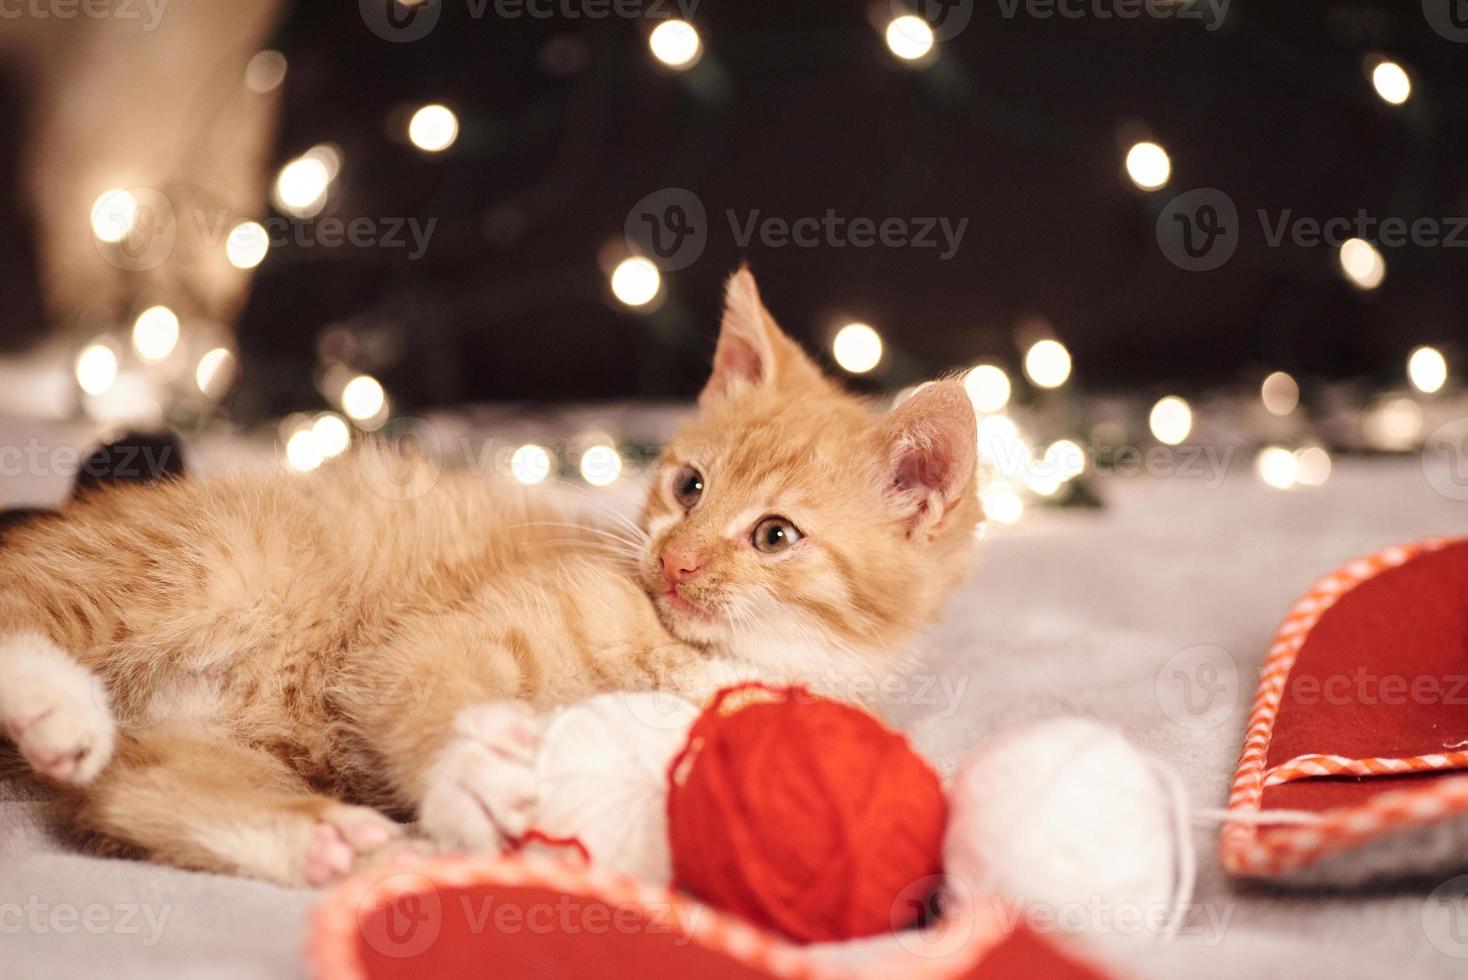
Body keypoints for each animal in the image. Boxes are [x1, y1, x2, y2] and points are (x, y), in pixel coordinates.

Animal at [2, 269, 986, 886]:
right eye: (690, 487)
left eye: (776, 536)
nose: (675, 561)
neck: (727, 655)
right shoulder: (425, 639)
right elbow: (421, 679)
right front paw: (468, 767)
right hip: (220, 569)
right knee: (26, 602)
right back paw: (55, 698)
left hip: (189, 725)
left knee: (132, 786)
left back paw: (334, 844)